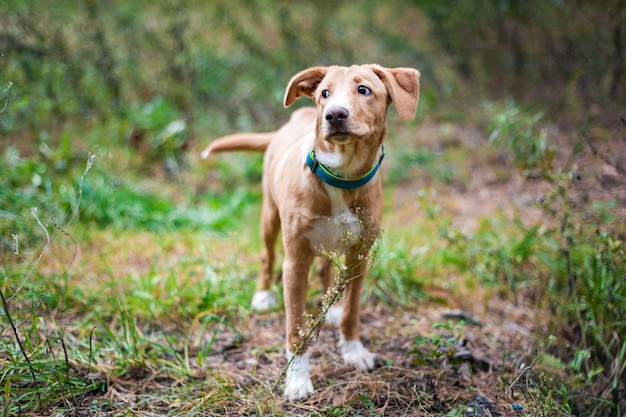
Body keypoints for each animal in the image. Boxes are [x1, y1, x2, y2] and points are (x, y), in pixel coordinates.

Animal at [202, 64, 420, 400]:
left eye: (364, 90)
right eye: (324, 93)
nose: (334, 115)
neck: (341, 176)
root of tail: (294, 119)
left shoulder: (359, 256)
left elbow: (352, 311)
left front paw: (353, 350)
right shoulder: (295, 260)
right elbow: (295, 328)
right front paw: (297, 379)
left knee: (326, 269)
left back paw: (329, 308)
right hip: (270, 217)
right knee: (267, 256)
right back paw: (263, 295)